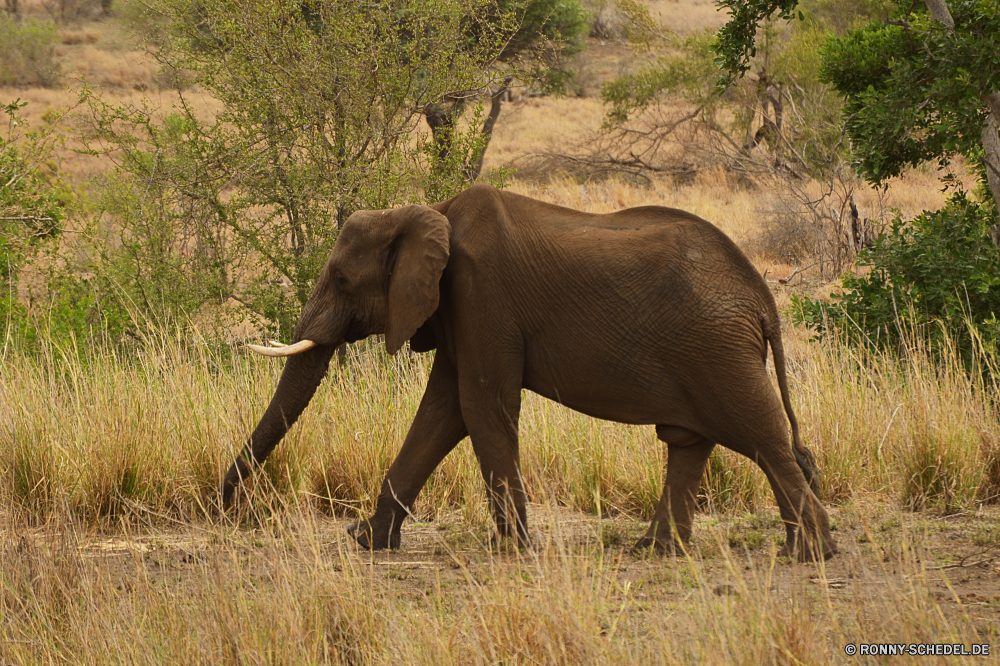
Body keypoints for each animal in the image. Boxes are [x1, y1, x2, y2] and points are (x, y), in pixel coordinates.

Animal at [219, 182, 836, 560]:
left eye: (343, 280)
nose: (225, 506)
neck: (428, 212)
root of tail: (763, 297)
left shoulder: (480, 293)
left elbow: (479, 407)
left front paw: (513, 550)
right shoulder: (458, 307)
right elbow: (442, 412)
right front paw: (368, 541)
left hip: (717, 350)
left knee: (762, 438)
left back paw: (810, 554)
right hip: (708, 348)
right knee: (690, 441)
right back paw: (658, 551)